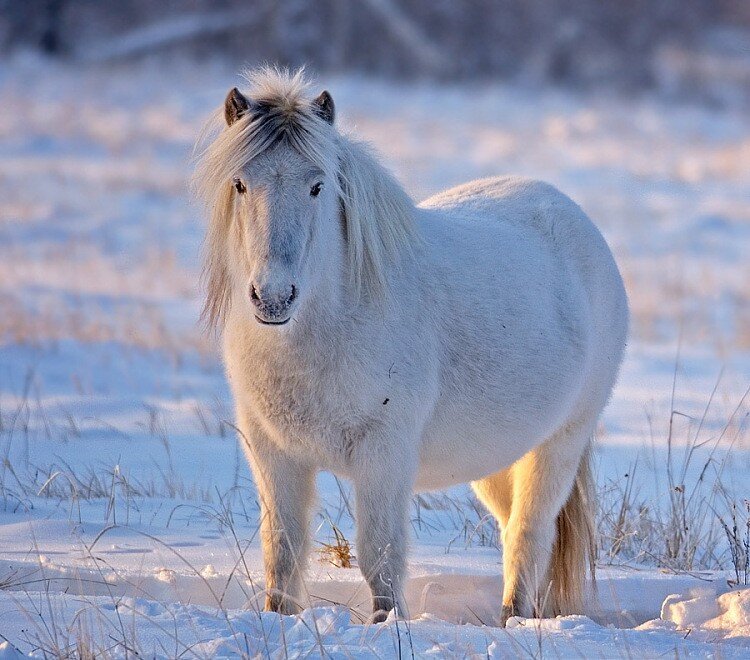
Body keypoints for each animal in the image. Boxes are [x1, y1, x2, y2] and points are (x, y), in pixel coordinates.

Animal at [194, 69, 628, 628]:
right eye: (240, 183)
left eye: (317, 186)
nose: (273, 297)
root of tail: (578, 223)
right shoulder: (273, 453)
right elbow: (282, 553)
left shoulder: (384, 453)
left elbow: (379, 557)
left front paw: (387, 627)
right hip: (499, 459)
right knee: (514, 529)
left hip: (559, 443)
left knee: (528, 536)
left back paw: (513, 619)